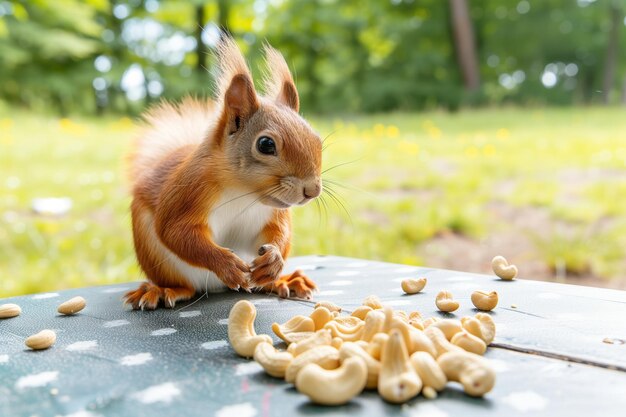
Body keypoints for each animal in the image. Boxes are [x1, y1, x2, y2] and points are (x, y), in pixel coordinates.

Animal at [125, 36, 324, 308]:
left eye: (317, 139)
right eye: (266, 144)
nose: (312, 190)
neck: (244, 192)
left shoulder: (273, 213)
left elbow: (278, 234)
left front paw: (274, 261)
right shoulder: (187, 192)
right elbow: (176, 231)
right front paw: (226, 264)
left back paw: (284, 281)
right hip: (159, 259)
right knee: (185, 285)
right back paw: (163, 290)